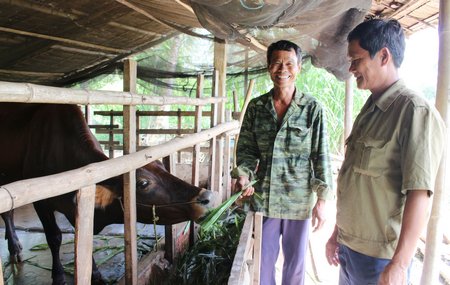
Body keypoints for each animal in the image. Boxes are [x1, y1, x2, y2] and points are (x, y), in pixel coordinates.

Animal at [0, 102, 213, 284]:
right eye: (143, 183)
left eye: (162, 165)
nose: (207, 197)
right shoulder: (41, 203)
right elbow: (54, 237)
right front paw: (58, 277)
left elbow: (84, 241)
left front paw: (95, 274)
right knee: (7, 213)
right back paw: (15, 248)